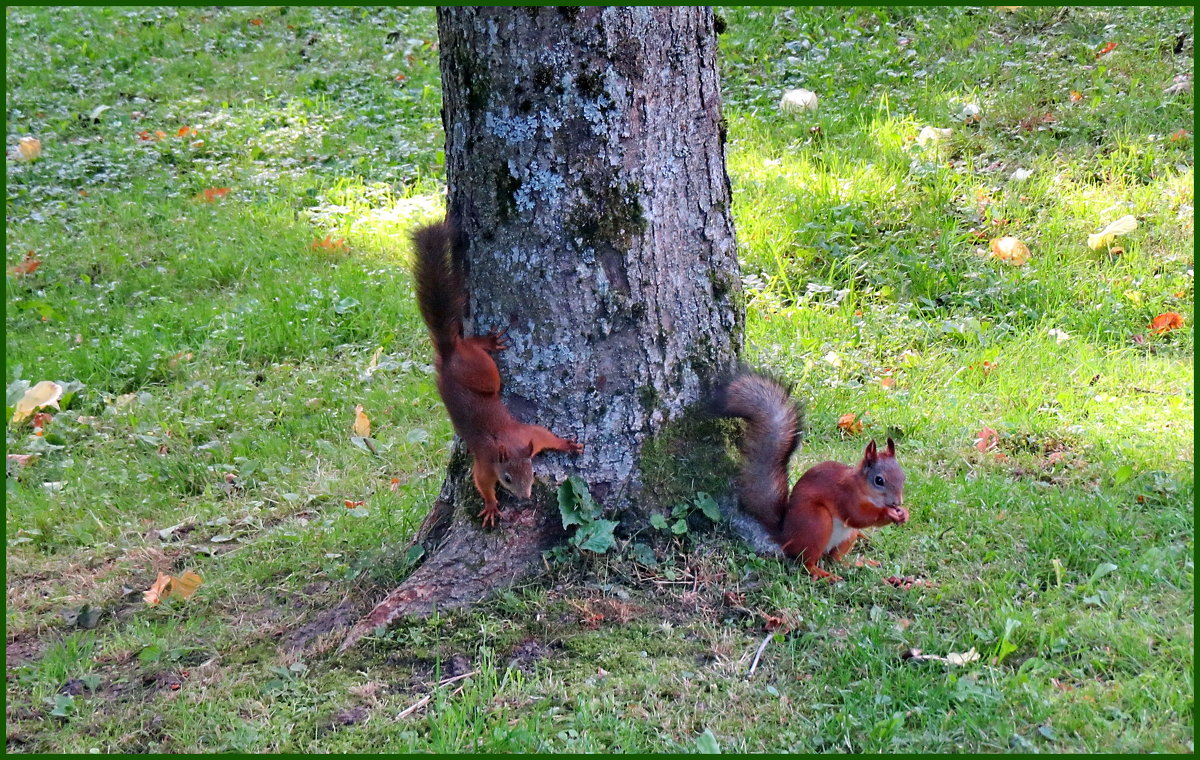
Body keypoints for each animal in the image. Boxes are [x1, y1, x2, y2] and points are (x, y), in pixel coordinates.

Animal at [410, 217, 583, 528]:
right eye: (507, 478)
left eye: (532, 473)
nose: (526, 497)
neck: (508, 446)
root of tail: (448, 354)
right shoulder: (486, 463)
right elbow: (481, 483)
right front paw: (491, 506)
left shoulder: (529, 439)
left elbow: (546, 435)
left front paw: (567, 444)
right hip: (482, 371)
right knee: (474, 353)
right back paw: (486, 342)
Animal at [710, 369, 907, 578]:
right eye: (879, 480)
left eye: (903, 477)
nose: (897, 502)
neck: (864, 490)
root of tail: (785, 536)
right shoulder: (844, 495)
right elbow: (856, 516)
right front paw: (888, 514)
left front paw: (903, 514)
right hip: (817, 522)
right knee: (807, 562)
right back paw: (824, 575)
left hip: (846, 536)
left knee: (835, 558)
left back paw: (857, 564)